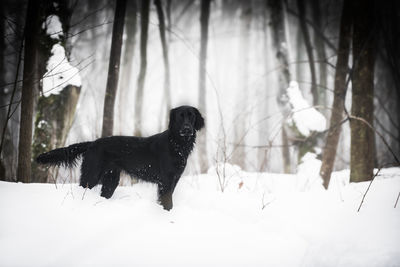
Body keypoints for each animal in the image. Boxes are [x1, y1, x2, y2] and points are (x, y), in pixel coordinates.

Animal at [36, 105, 205, 210]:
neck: (177, 144)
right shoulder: (166, 181)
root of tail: (92, 143)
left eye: (191, 116)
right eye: (180, 117)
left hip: (110, 180)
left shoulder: (174, 179)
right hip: (92, 175)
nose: (187, 129)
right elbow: (167, 202)